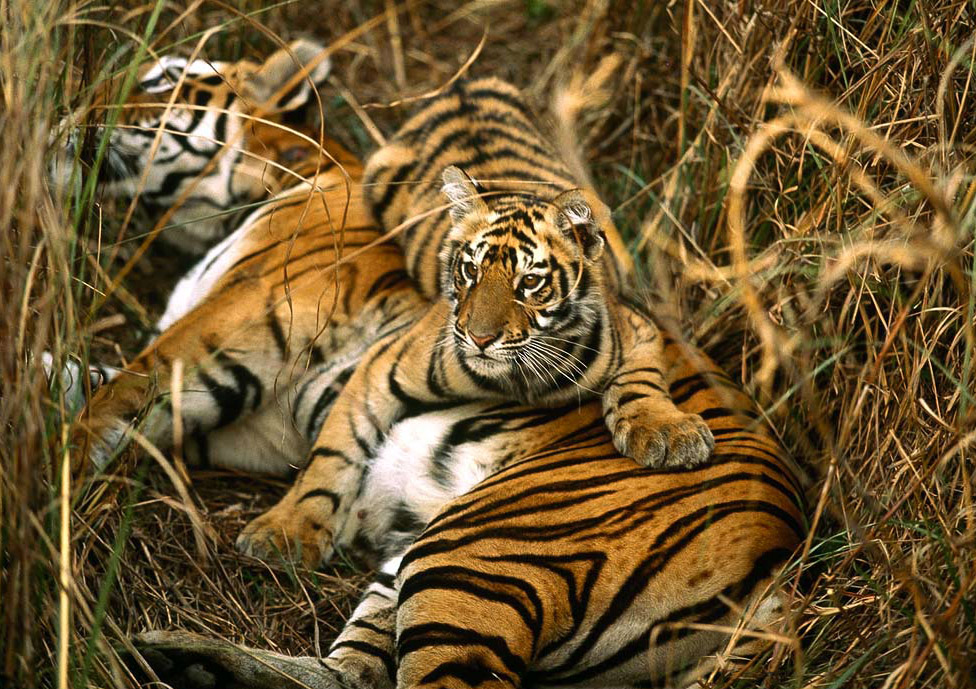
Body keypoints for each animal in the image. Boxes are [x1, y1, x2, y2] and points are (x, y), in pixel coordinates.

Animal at [61, 43, 804, 688]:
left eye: (162, 79)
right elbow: (85, 379)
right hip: (417, 565)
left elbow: (118, 391)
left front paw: (54, 467)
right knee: (351, 675)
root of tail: (785, 547)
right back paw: (191, 663)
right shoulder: (262, 426)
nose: (70, 112)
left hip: (478, 549)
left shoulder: (230, 329)